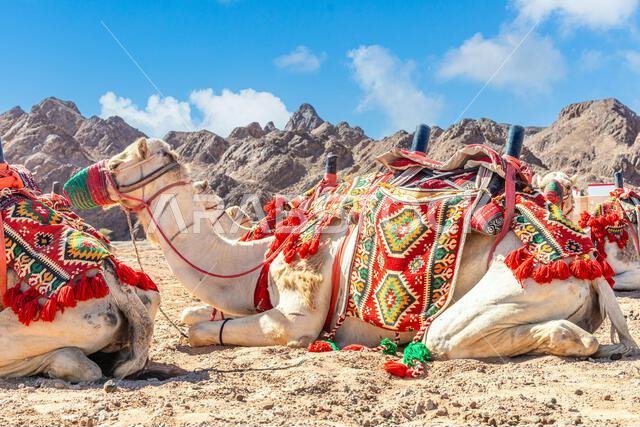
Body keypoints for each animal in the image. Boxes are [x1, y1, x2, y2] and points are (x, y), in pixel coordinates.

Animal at [71, 137, 637, 363]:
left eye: (123, 159)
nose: (79, 181)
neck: (251, 261)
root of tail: (587, 262)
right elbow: (194, 314)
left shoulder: (297, 314)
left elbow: (216, 328)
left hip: (513, 284)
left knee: (449, 337)